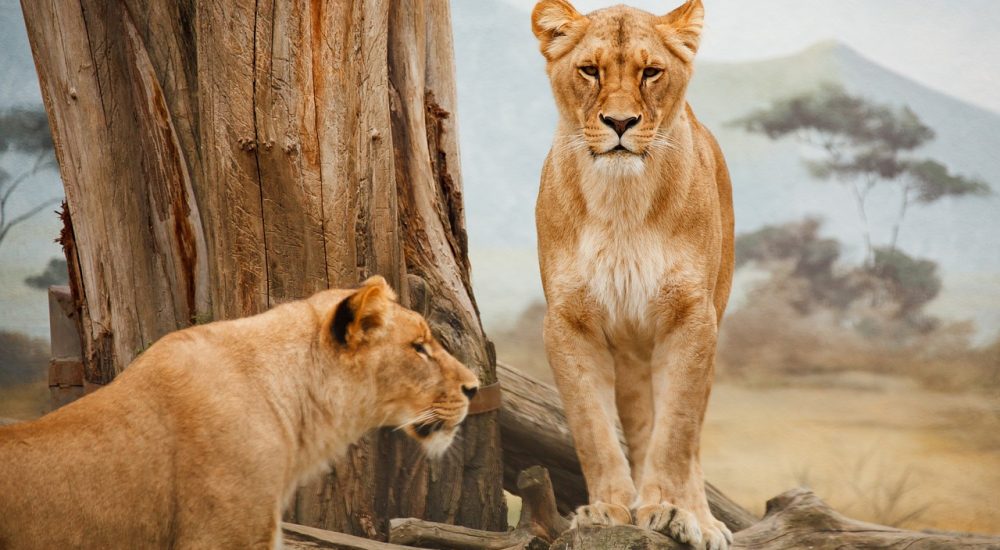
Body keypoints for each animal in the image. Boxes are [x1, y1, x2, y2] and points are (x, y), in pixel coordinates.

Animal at [531, 1, 735, 548]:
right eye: (589, 70)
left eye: (651, 72)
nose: (620, 122)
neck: (621, 200)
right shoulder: (568, 322)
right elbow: (593, 428)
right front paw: (608, 509)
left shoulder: (692, 318)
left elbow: (677, 432)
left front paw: (667, 508)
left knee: (691, 437)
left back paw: (700, 519)